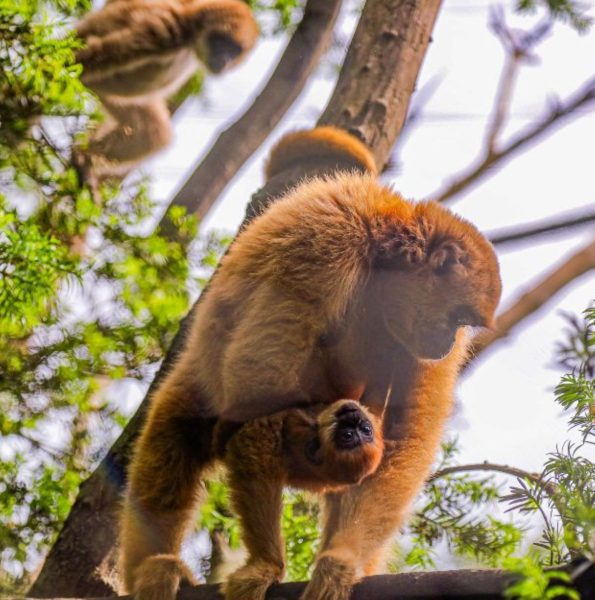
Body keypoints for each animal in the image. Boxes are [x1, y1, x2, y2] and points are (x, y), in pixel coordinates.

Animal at [74, 0, 258, 182]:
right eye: (220, 44)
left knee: (154, 135)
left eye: (233, 52)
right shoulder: (169, 30)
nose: (224, 61)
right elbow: (99, 53)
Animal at [121, 126, 502, 600]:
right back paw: (153, 567)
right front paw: (268, 561)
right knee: (178, 429)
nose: (449, 342)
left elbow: (405, 436)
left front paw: (341, 561)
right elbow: (257, 390)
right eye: (458, 318)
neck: (381, 241)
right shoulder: (326, 245)